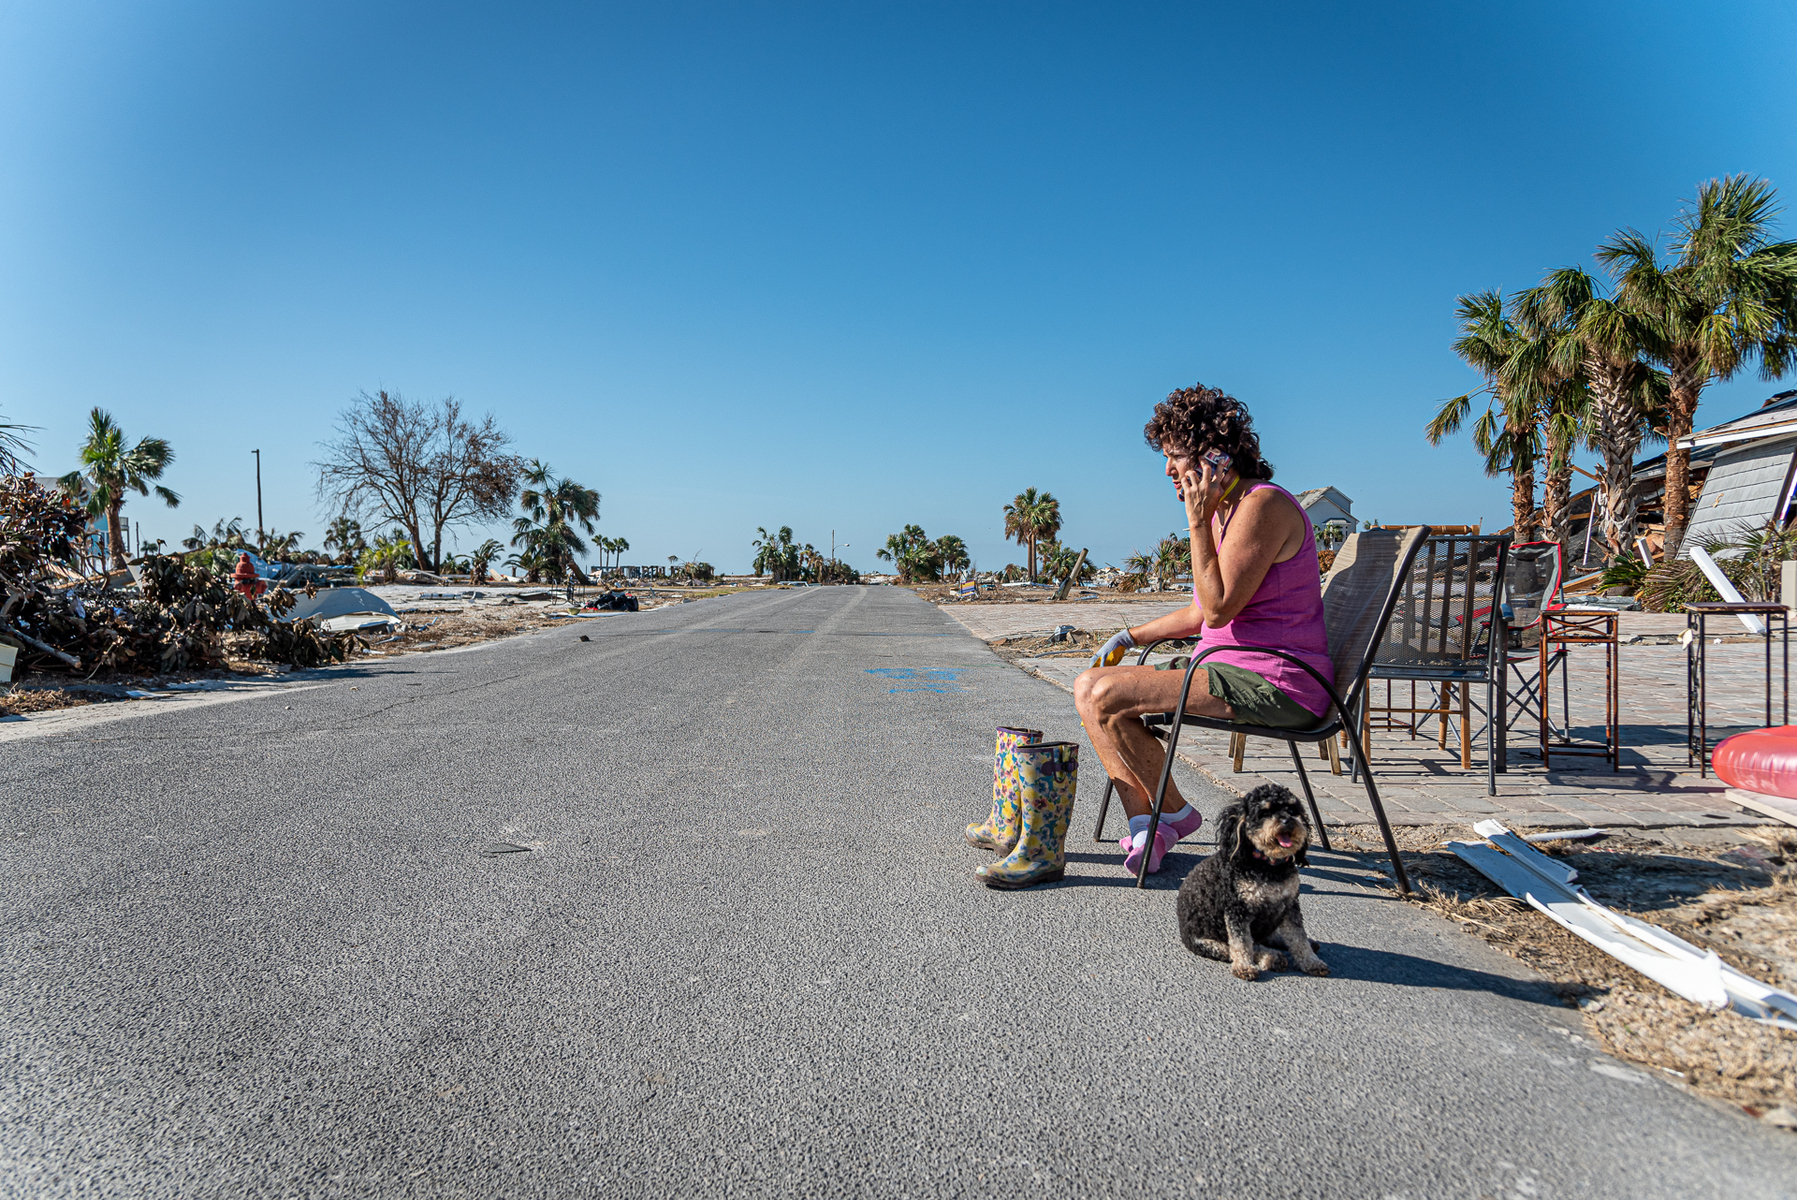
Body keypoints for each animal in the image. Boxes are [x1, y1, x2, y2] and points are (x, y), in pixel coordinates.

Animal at [1171, 783, 1329, 977]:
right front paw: (1244, 966)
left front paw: (1311, 962)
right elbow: (1242, 942)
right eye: (1264, 813)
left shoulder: (1290, 906)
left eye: (1292, 810)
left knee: (1270, 938)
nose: (1287, 821)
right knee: (1239, 948)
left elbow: (1299, 938)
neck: (1269, 866)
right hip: (1206, 942)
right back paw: (1271, 958)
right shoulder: (1236, 910)